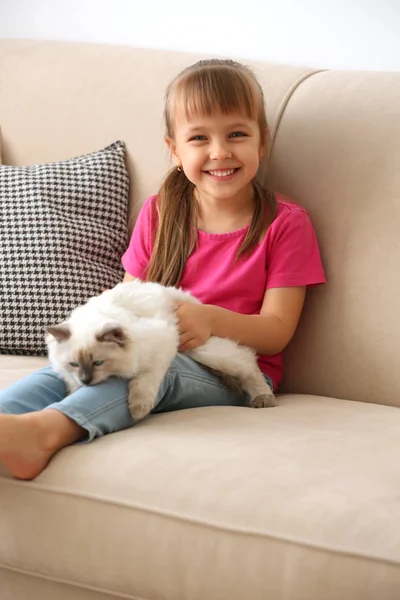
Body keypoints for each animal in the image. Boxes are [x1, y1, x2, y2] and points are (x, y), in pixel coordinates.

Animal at [46, 280, 276, 418]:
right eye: (74, 364)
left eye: (98, 363)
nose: (86, 380)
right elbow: (72, 388)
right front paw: (76, 390)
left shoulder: (161, 346)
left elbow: (144, 382)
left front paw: (138, 410)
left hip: (204, 352)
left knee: (248, 363)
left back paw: (264, 399)